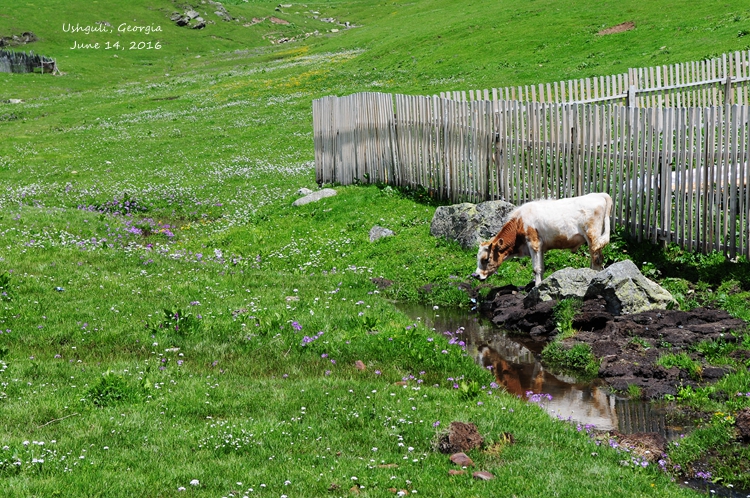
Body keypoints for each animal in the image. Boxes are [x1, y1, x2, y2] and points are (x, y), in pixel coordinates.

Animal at [478, 194, 612, 288]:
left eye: (486, 259)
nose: (476, 275)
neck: (519, 222)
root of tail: (599, 194)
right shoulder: (541, 247)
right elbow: (541, 268)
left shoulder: (533, 243)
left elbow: (536, 269)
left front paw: (536, 286)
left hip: (593, 236)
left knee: (597, 259)